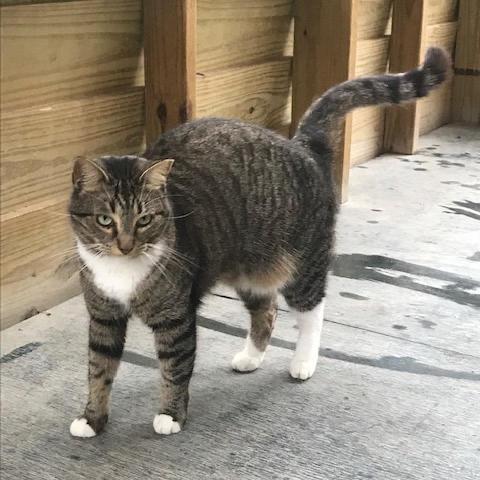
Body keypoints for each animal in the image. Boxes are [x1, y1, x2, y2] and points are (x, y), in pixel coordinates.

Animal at [68, 47, 450, 436]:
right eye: (105, 220)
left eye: (145, 219)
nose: (126, 245)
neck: (121, 271)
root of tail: (302, 146)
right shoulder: (104, 317)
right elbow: (98, 368)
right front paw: (92, 418)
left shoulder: (176, 319)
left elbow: (174, 369)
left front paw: (171, 415)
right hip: (250, 271)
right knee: (266, 310)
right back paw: (251, 357)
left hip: (305, 262)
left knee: (312, 308)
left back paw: (303, 362)